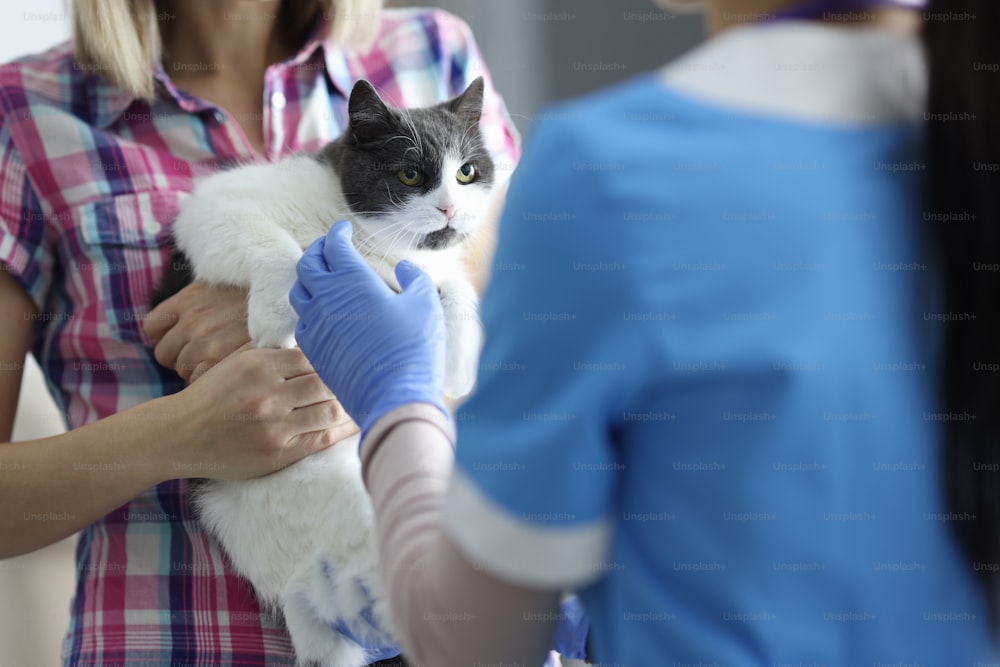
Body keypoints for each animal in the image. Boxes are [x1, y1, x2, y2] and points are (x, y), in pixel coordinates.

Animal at [151, 77, 496, 667]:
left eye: (467, 172)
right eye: (410, 174)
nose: (450, 209)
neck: (366, 239)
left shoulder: (422, 269)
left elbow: (450, 283)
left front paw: (457, 362)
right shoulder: (214, 207)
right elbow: (275, 248)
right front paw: (274, 316)